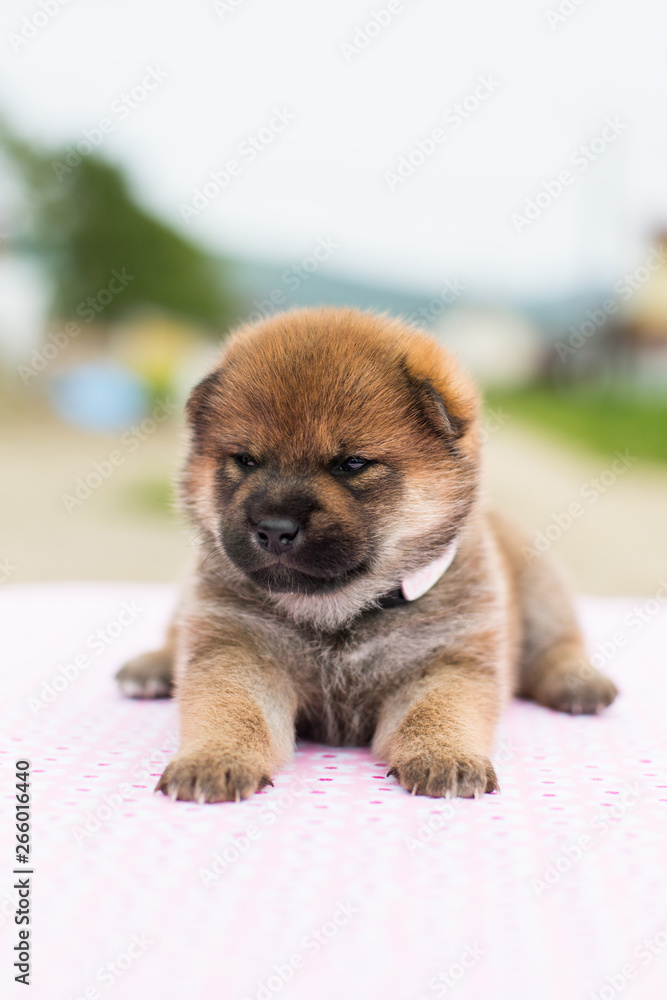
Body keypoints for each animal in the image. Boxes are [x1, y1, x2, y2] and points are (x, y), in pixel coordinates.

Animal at [117, 308, 620, 800]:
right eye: (245, 460)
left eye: (352, 464)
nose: (274, 530)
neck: (338, 614)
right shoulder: (236, 649)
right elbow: (230, 709)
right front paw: (213, 758)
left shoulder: (448, 661)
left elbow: (438, 711)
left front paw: (446, 755)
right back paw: (153, 666)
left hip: (541, 593)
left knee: (557, 645)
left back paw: (578, 682)